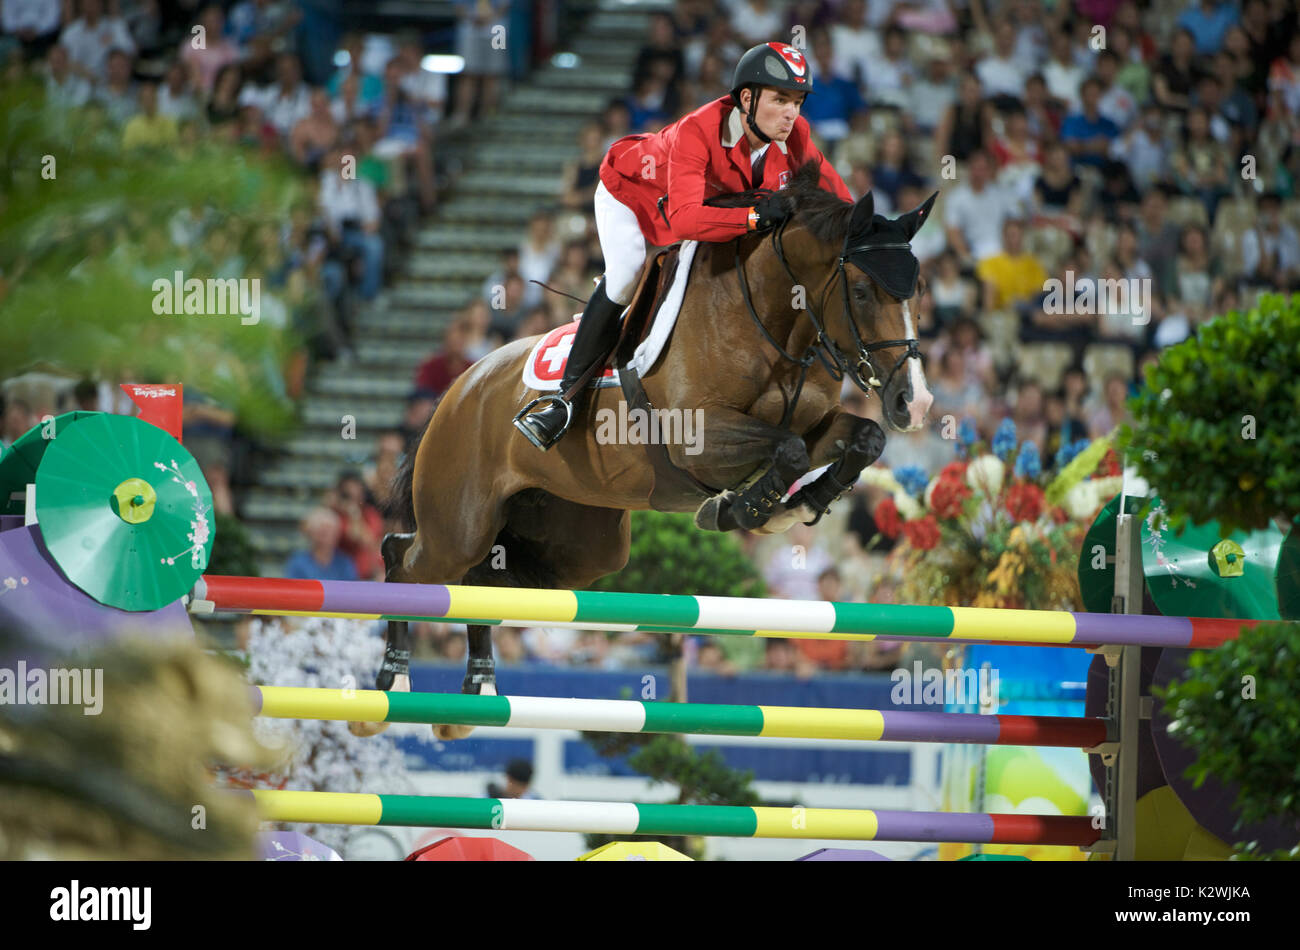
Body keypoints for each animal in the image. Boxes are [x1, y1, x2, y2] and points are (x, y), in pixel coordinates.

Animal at [351, 161, 941, 743]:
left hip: (577, 550)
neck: (773, 322)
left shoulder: (815, 424)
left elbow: (862, 438)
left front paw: (794, 502)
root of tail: (459, 386)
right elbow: (790, 451)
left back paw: (474, 694)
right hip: (461, 524)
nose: (915, 402)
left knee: (480, 581)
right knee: (404, 558)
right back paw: (389, 687)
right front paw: (750, 508)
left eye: (917, 292)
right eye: (861, 291)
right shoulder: (698, 439)